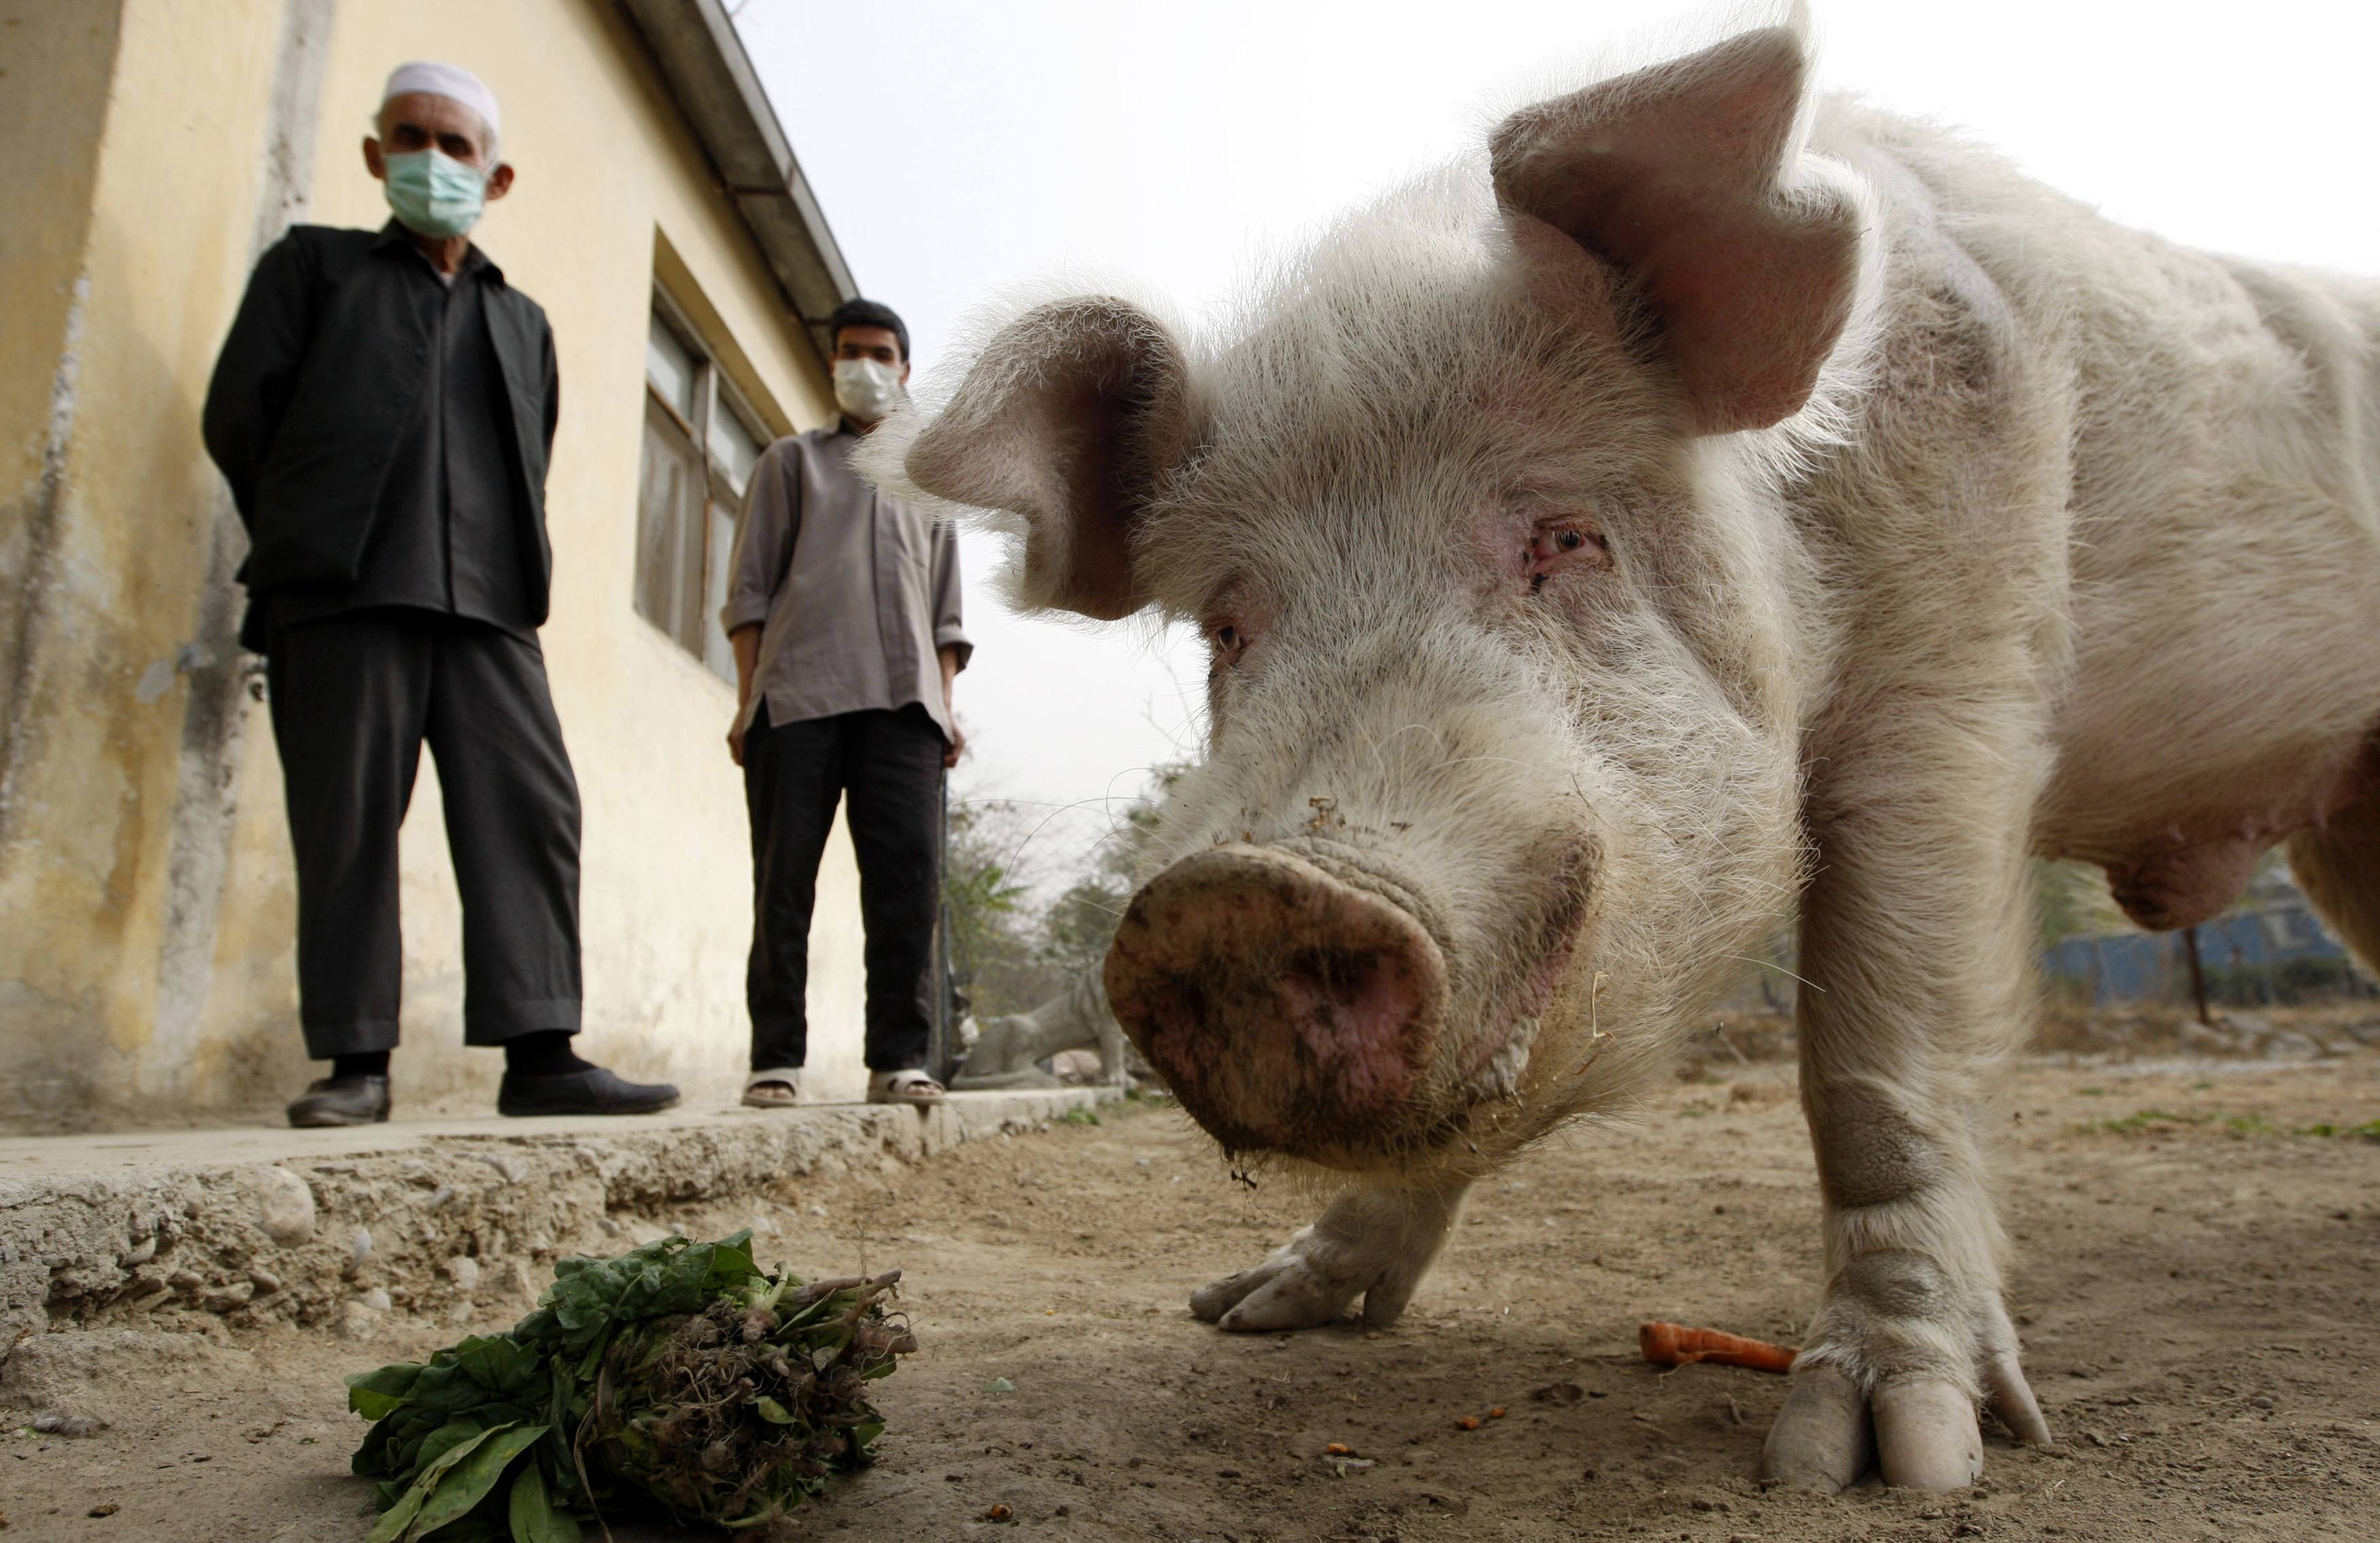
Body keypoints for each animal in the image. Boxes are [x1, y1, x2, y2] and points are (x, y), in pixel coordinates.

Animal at [862, 3, 2380, 1495]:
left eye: (1565, 536)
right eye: (1229, 625)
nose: (1241, 895)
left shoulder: (1961, 662)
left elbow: (1879, 1064)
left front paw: (1878, 1466)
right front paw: (1248, 1314)